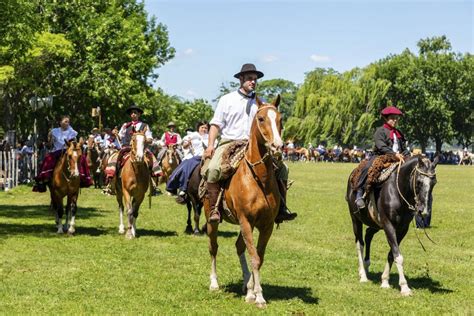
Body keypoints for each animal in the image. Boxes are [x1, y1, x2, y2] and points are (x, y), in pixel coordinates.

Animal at [205, 95, 286, 308]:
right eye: (261, 119)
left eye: (280, 119)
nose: (277, 147)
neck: (258, 178)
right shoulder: (246, 221)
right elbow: (254, 256)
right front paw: (258, 296)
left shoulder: (266, 225)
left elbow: (258, 257)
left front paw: (252, 292)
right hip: (211, 221)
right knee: (213, 247)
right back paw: (214, 283)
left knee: (239, 247)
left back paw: (245, 283)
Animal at [346, 156, 438, 296]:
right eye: (419, 182)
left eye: (434, 183)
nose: (424, 210)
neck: (397, 191)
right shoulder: (389, 225)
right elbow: (398, 256)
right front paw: (404, 287)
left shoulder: (402, 229)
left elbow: (392, 254)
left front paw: (384, 281)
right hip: (355, 219)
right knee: (360, 243)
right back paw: (363, 275)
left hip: (376, 224)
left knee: (368, 235)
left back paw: (366, 266)